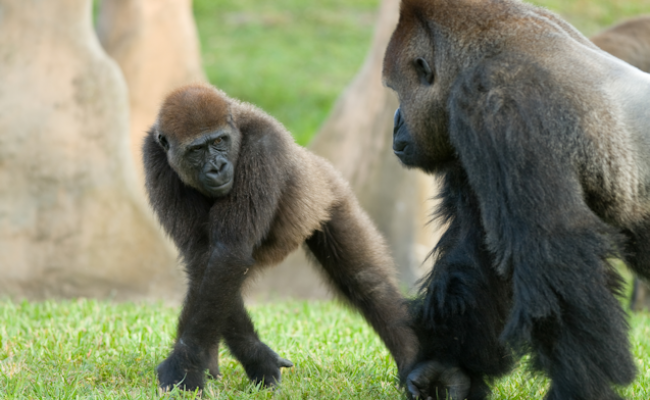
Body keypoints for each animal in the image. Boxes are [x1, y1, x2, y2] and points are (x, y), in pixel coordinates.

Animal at [142, 84, 418, 392]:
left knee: (366, 281)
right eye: (196, 150)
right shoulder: (154, 157)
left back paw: (411, 360)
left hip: (331, 192)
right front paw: (252, 356)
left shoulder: (263, 145)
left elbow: (227, 255)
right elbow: (205, 260)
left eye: (219, 141)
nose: (217, 167)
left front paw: (187, 363)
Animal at [382, 0, 650, 399]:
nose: (395, 123)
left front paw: (577, 385)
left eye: (396, 91)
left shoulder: (496, 102)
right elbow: (476, 251)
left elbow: (554, 250)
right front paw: (446, 368)